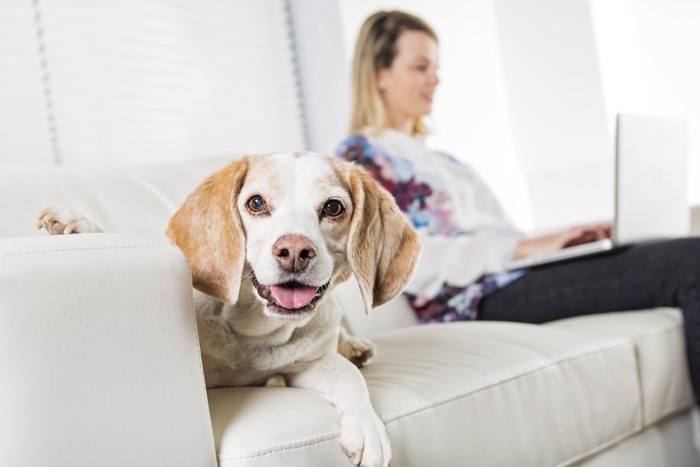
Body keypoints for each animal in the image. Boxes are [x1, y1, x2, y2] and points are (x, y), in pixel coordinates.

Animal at [39, 152, 422, 466]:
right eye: (256, 202)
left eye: (332, 208)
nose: (294, 251)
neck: (253, 332)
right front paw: (79, 225)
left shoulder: (307, 365)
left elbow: (348, 375)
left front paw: (368, 427)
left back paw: (354, 347)